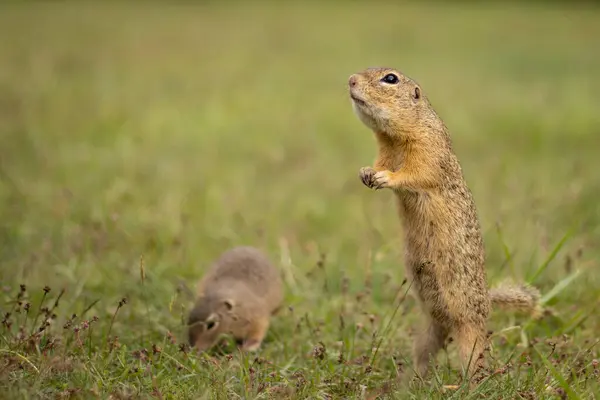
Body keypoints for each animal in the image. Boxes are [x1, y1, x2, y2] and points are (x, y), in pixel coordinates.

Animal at [350, 67, 540, 380]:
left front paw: (386, 178)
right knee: (424, 353)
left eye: (390, 79)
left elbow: (414, 174)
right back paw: (412, 380)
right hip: (429, 330)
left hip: (470, 335)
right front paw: (367, 172)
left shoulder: (428, 152)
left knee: (474, 362)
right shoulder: (385, 152)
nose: (351, 80)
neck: (395, 138)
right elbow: (379, 164)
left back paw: (467, 384)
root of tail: (486, 304)